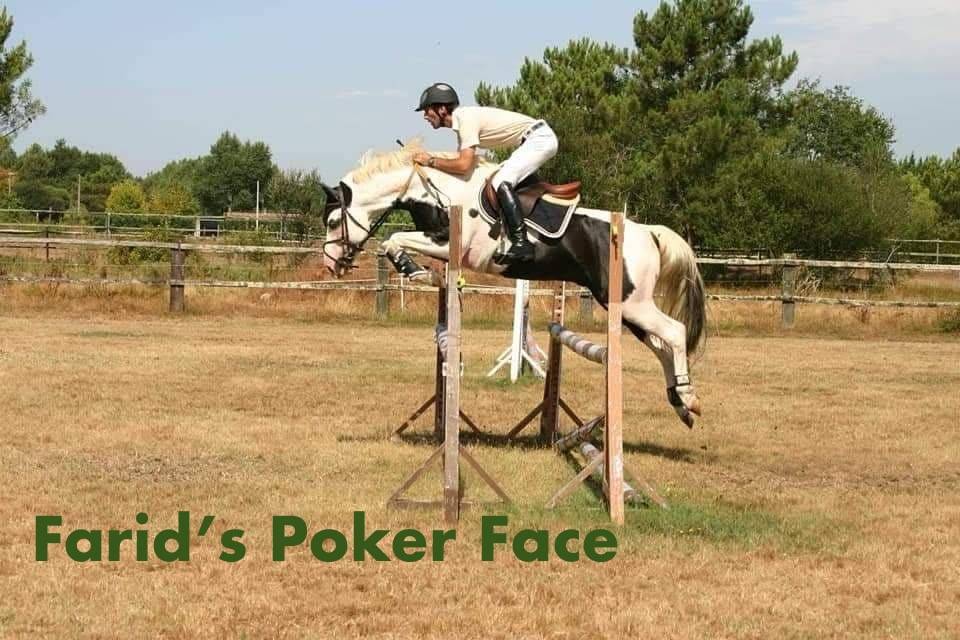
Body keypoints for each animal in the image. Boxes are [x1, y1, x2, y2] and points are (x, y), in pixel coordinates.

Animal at [321, 141, 706, 428]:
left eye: (334, 221)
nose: (330, 265)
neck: (435, 189)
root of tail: (648, 232)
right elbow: (395, 241)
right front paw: (419, 272)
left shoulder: (449, 245)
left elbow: (395, 238)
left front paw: (413, 269)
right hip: (620, 305)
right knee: (660, 345)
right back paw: (679, 403)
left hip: (631, 303)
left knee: (673, 333)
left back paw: (688, 398)